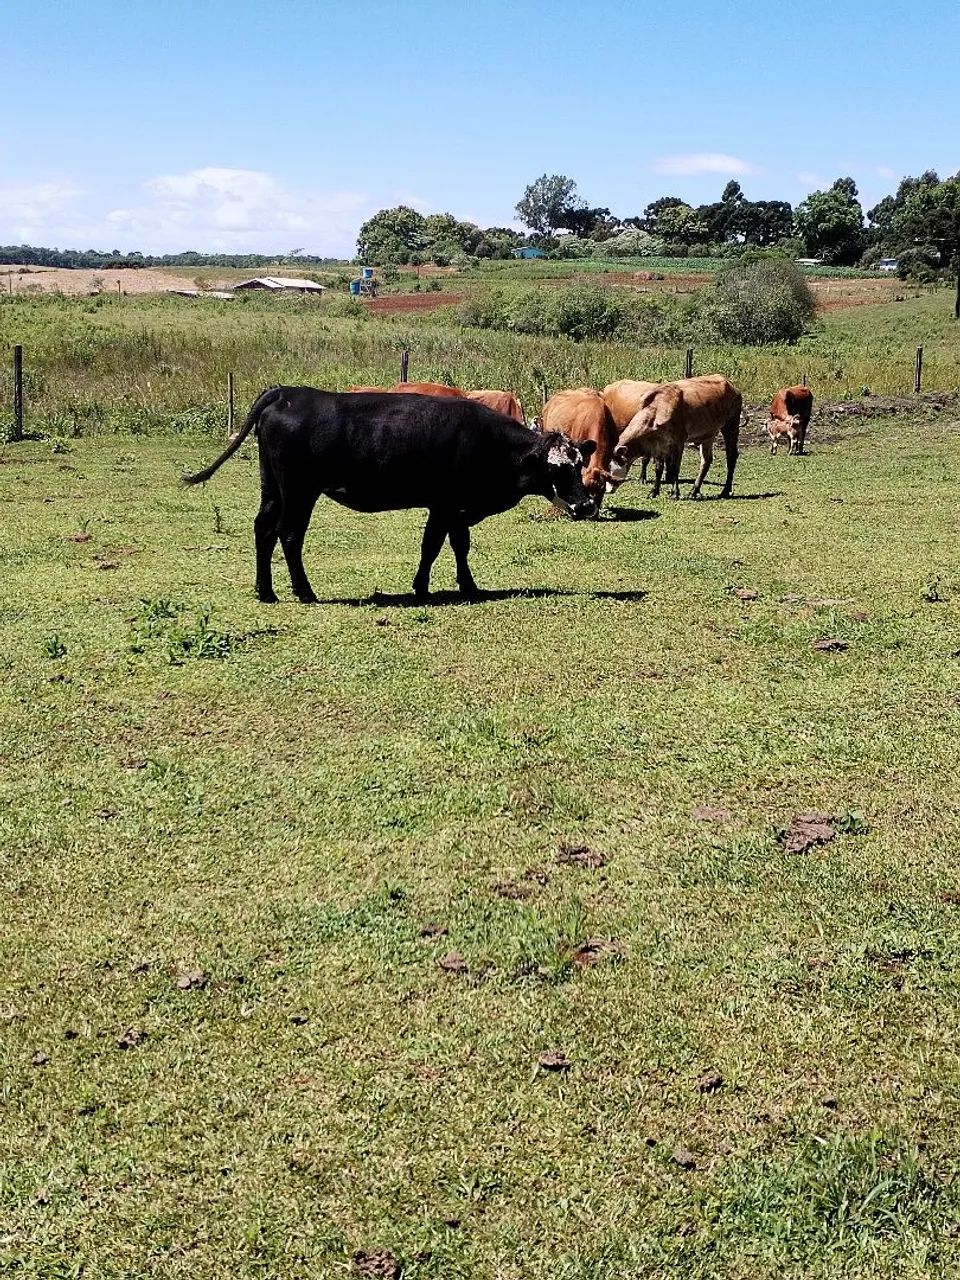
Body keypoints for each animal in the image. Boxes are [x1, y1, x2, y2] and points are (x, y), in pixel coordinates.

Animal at [182, 386, 599, 604]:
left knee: (264, 529)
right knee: (289, 534)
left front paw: (466, 585)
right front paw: (423, 588)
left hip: (273, 488)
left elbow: (457, 544)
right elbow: (434, 545)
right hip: (300, 492)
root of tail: (289, 392)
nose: (586, 504)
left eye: (579, 464)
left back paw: (265, 591)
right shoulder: (446, 503)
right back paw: (304, 591)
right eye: (556, 469)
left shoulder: (453, 507)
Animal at [608, 375, 742, 500]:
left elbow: (674, 467)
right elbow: (658, 468)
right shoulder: (659, 444)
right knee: (706, 460)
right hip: (708, 434)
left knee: (731, 456)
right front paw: (654, 491)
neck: (660, 408)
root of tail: (731, 385)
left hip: (731, 425)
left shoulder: (678, 442)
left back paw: (725, 490)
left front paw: (674, 493)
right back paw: (694, 490)